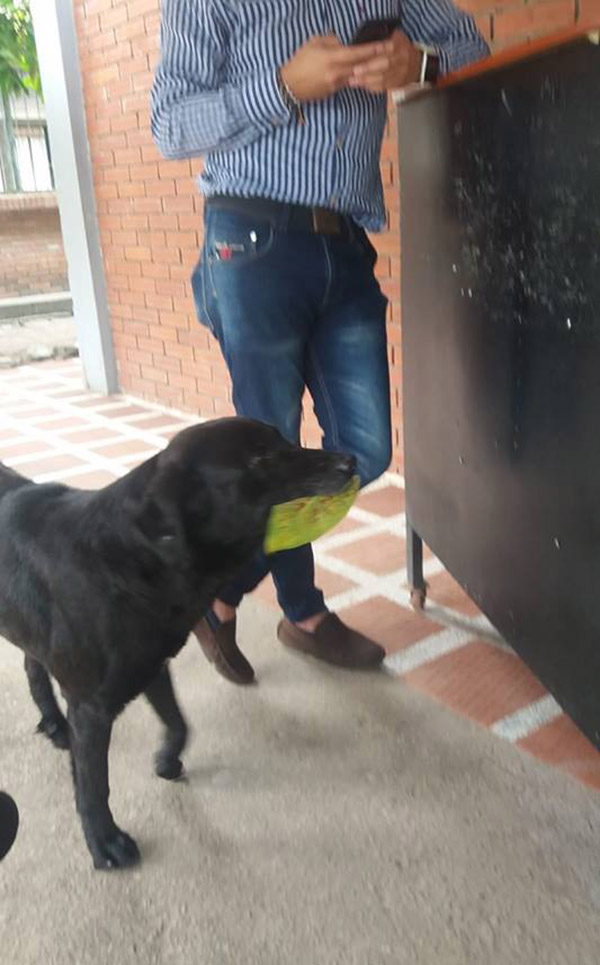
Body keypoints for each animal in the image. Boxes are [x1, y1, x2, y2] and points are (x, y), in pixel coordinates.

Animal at [0, 418, 354, 868]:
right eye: (258, 457)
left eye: (281, 440)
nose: (349, 461)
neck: (130, 559)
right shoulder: (92, 707)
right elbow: (94, 785)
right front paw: (104, 841)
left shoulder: (153, 665)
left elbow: (179, 722)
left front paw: (167, 759)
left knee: (33, 663)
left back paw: (53, 723)